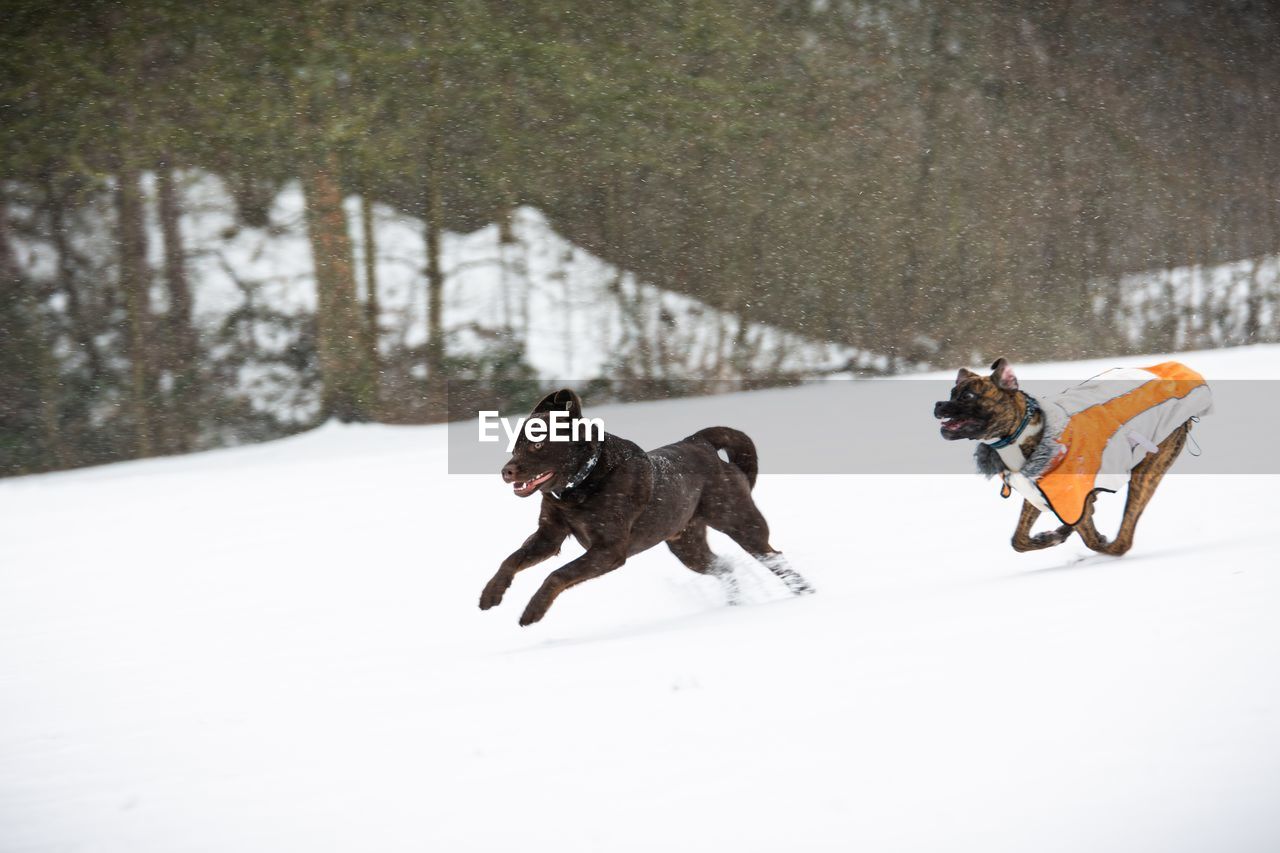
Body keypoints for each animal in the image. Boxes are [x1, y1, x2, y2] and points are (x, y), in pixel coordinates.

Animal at [481, 389, 808, 622]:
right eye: (515, 447)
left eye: (537, 444)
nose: (506, 471)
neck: (581, 484)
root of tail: (700, 442)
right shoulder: (549, 536)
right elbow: (511, 559)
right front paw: (490, 594)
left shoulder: (609, 549)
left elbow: (558, 574)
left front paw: (532, 611)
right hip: (687, 546)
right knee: (724, 566)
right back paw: (734, 607)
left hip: (741, 524)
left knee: (775, 560)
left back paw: (806, 596)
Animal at [931, 358, 1208, 558]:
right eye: (952, 391)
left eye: (968, 396)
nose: (938, 404)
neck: (1023, 434)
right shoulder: (1038, 495)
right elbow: (1018, 540)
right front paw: (1049, 537)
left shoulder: (1071, 498)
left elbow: (1090, 538)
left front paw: (1083, 536)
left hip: (1148, 468)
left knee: (1124, 538)